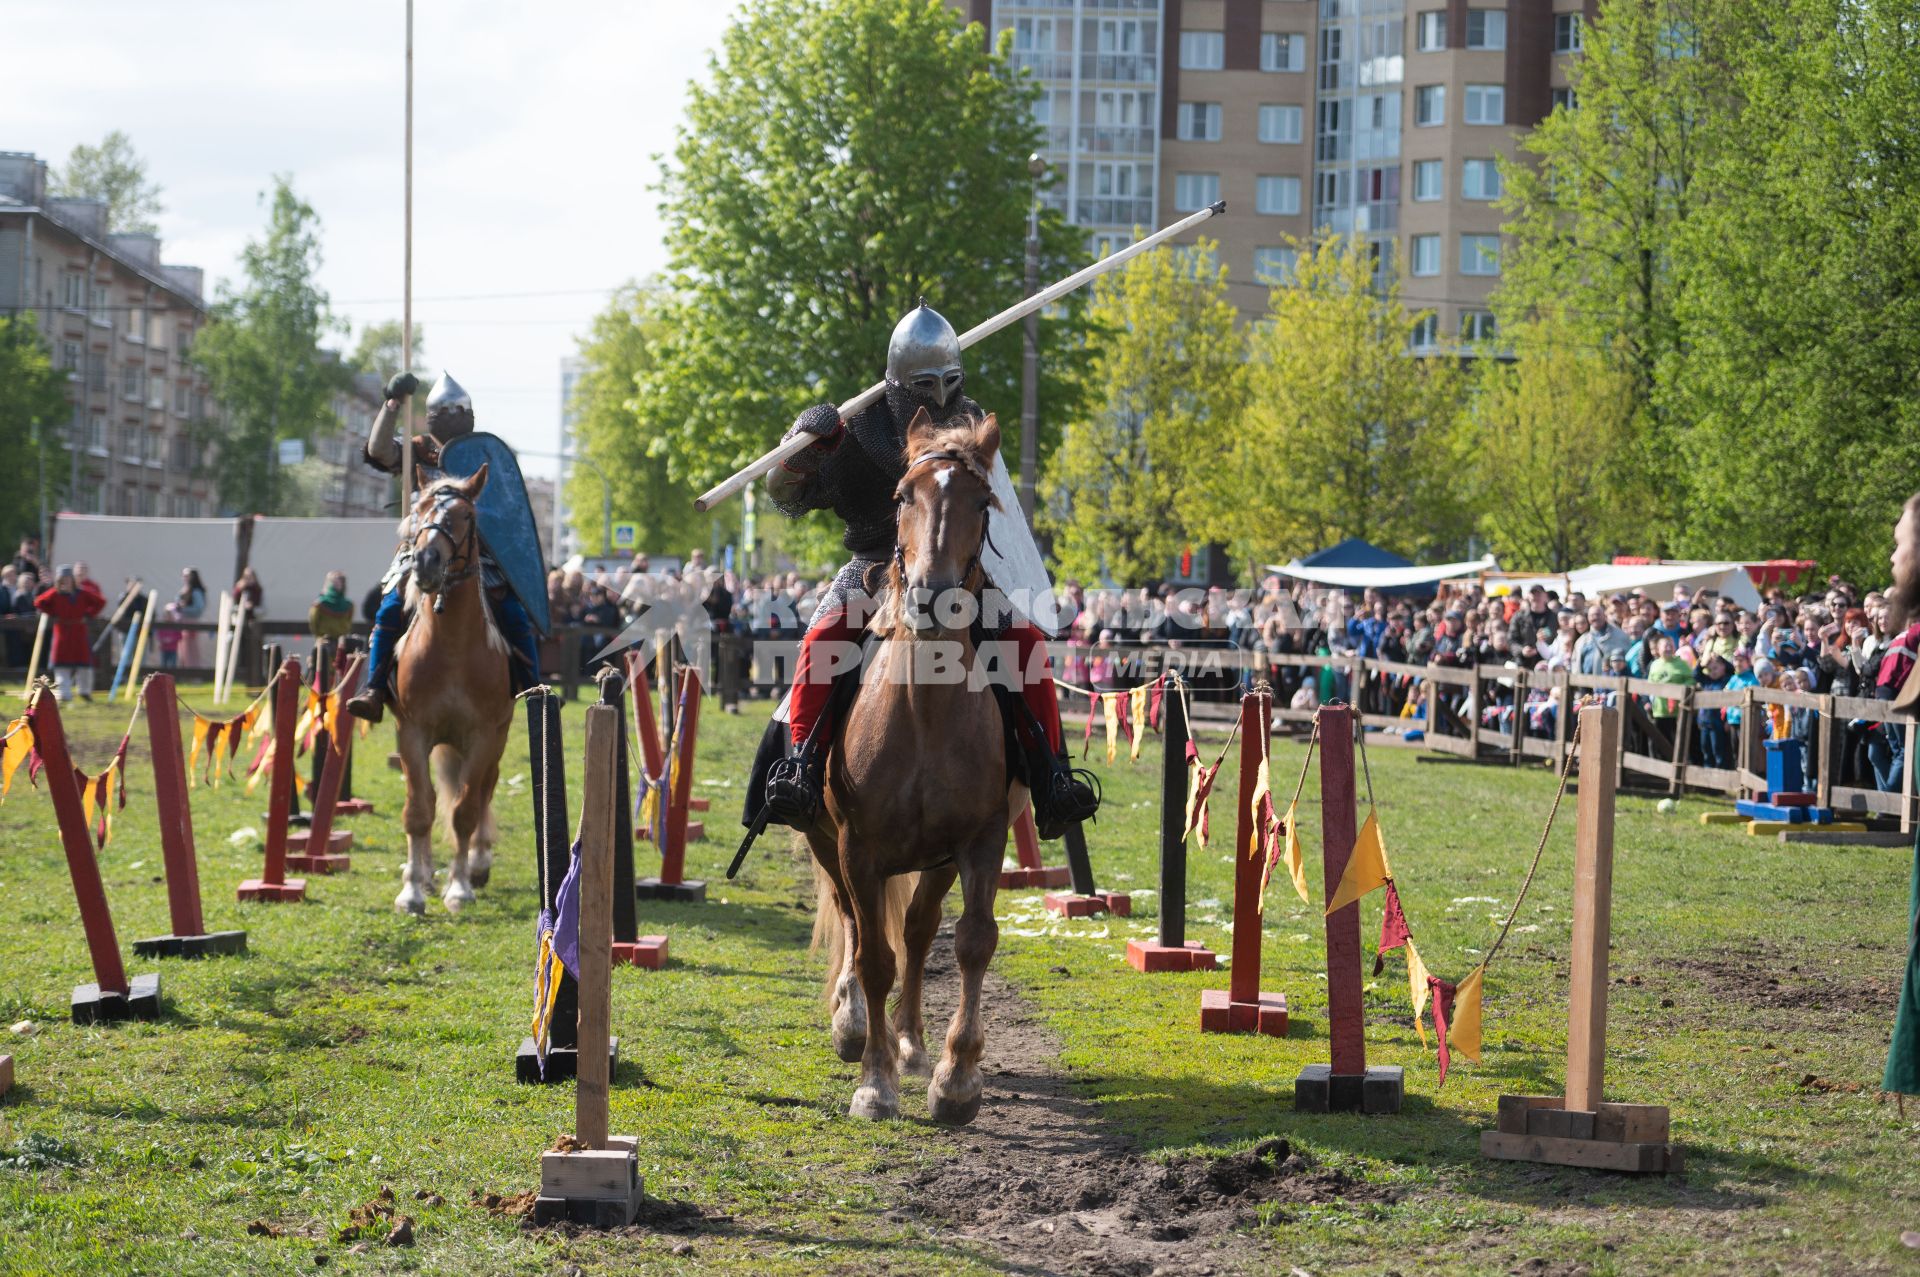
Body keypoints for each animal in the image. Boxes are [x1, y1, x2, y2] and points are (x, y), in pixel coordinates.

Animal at [391, 462, 510, 910]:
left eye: (466, 516)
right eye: (421, 510)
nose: (425, 562)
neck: (453, 647)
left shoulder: (483, 736)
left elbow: (465, 810)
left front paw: (459, 886)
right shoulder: (412, 731)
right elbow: (419, 809)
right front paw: (412, 890)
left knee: (483, 792)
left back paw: (476, 864)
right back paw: (423, 874)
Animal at [802, 412, 1029, 1121]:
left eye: (982, 504)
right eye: (903, 497)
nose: (933, 597)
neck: (924, 710)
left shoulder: (980, 840)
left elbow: (970, 941)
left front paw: (955, 1078)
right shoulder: (858, 844)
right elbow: (875, 954)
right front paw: (874, 1081)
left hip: (934, 860)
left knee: (920, 931)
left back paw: (912, 1043)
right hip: (826, 841)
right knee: (854, 920)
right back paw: (853, 1024)